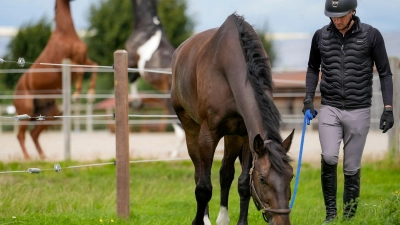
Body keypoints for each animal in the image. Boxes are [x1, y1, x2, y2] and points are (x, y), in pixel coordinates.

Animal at [12, 0, 97, 159]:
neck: (66, 34)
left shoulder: (83, 59)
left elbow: (95, 67)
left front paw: (90, 95)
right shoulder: (66, 64)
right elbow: (81, 71)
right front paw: (77, 95)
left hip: (49, 113)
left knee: (34, 134)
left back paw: (43, 157)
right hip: (26, 112)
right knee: (21, 136)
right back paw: (27, 158)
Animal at [125, 0, 186, 156]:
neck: (148, 27)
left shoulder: (132, 61)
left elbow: (131, 79)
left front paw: (136, 103)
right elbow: (133, 80)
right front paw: (137, 104)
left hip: (170, 104)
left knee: (181, 132)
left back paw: (174, 154)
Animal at [170, 13, 296, 224]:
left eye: (291, 176)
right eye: (262, 179)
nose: (281, 221)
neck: (227, 65)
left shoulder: (247, 137)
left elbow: (243, 184)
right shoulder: (208, 135)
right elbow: (203, 188)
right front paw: (198, 221)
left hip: (232, 136)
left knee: (225, 173)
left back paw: (223, 218)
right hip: (190, 128)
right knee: (199, 174)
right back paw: (206, 218)